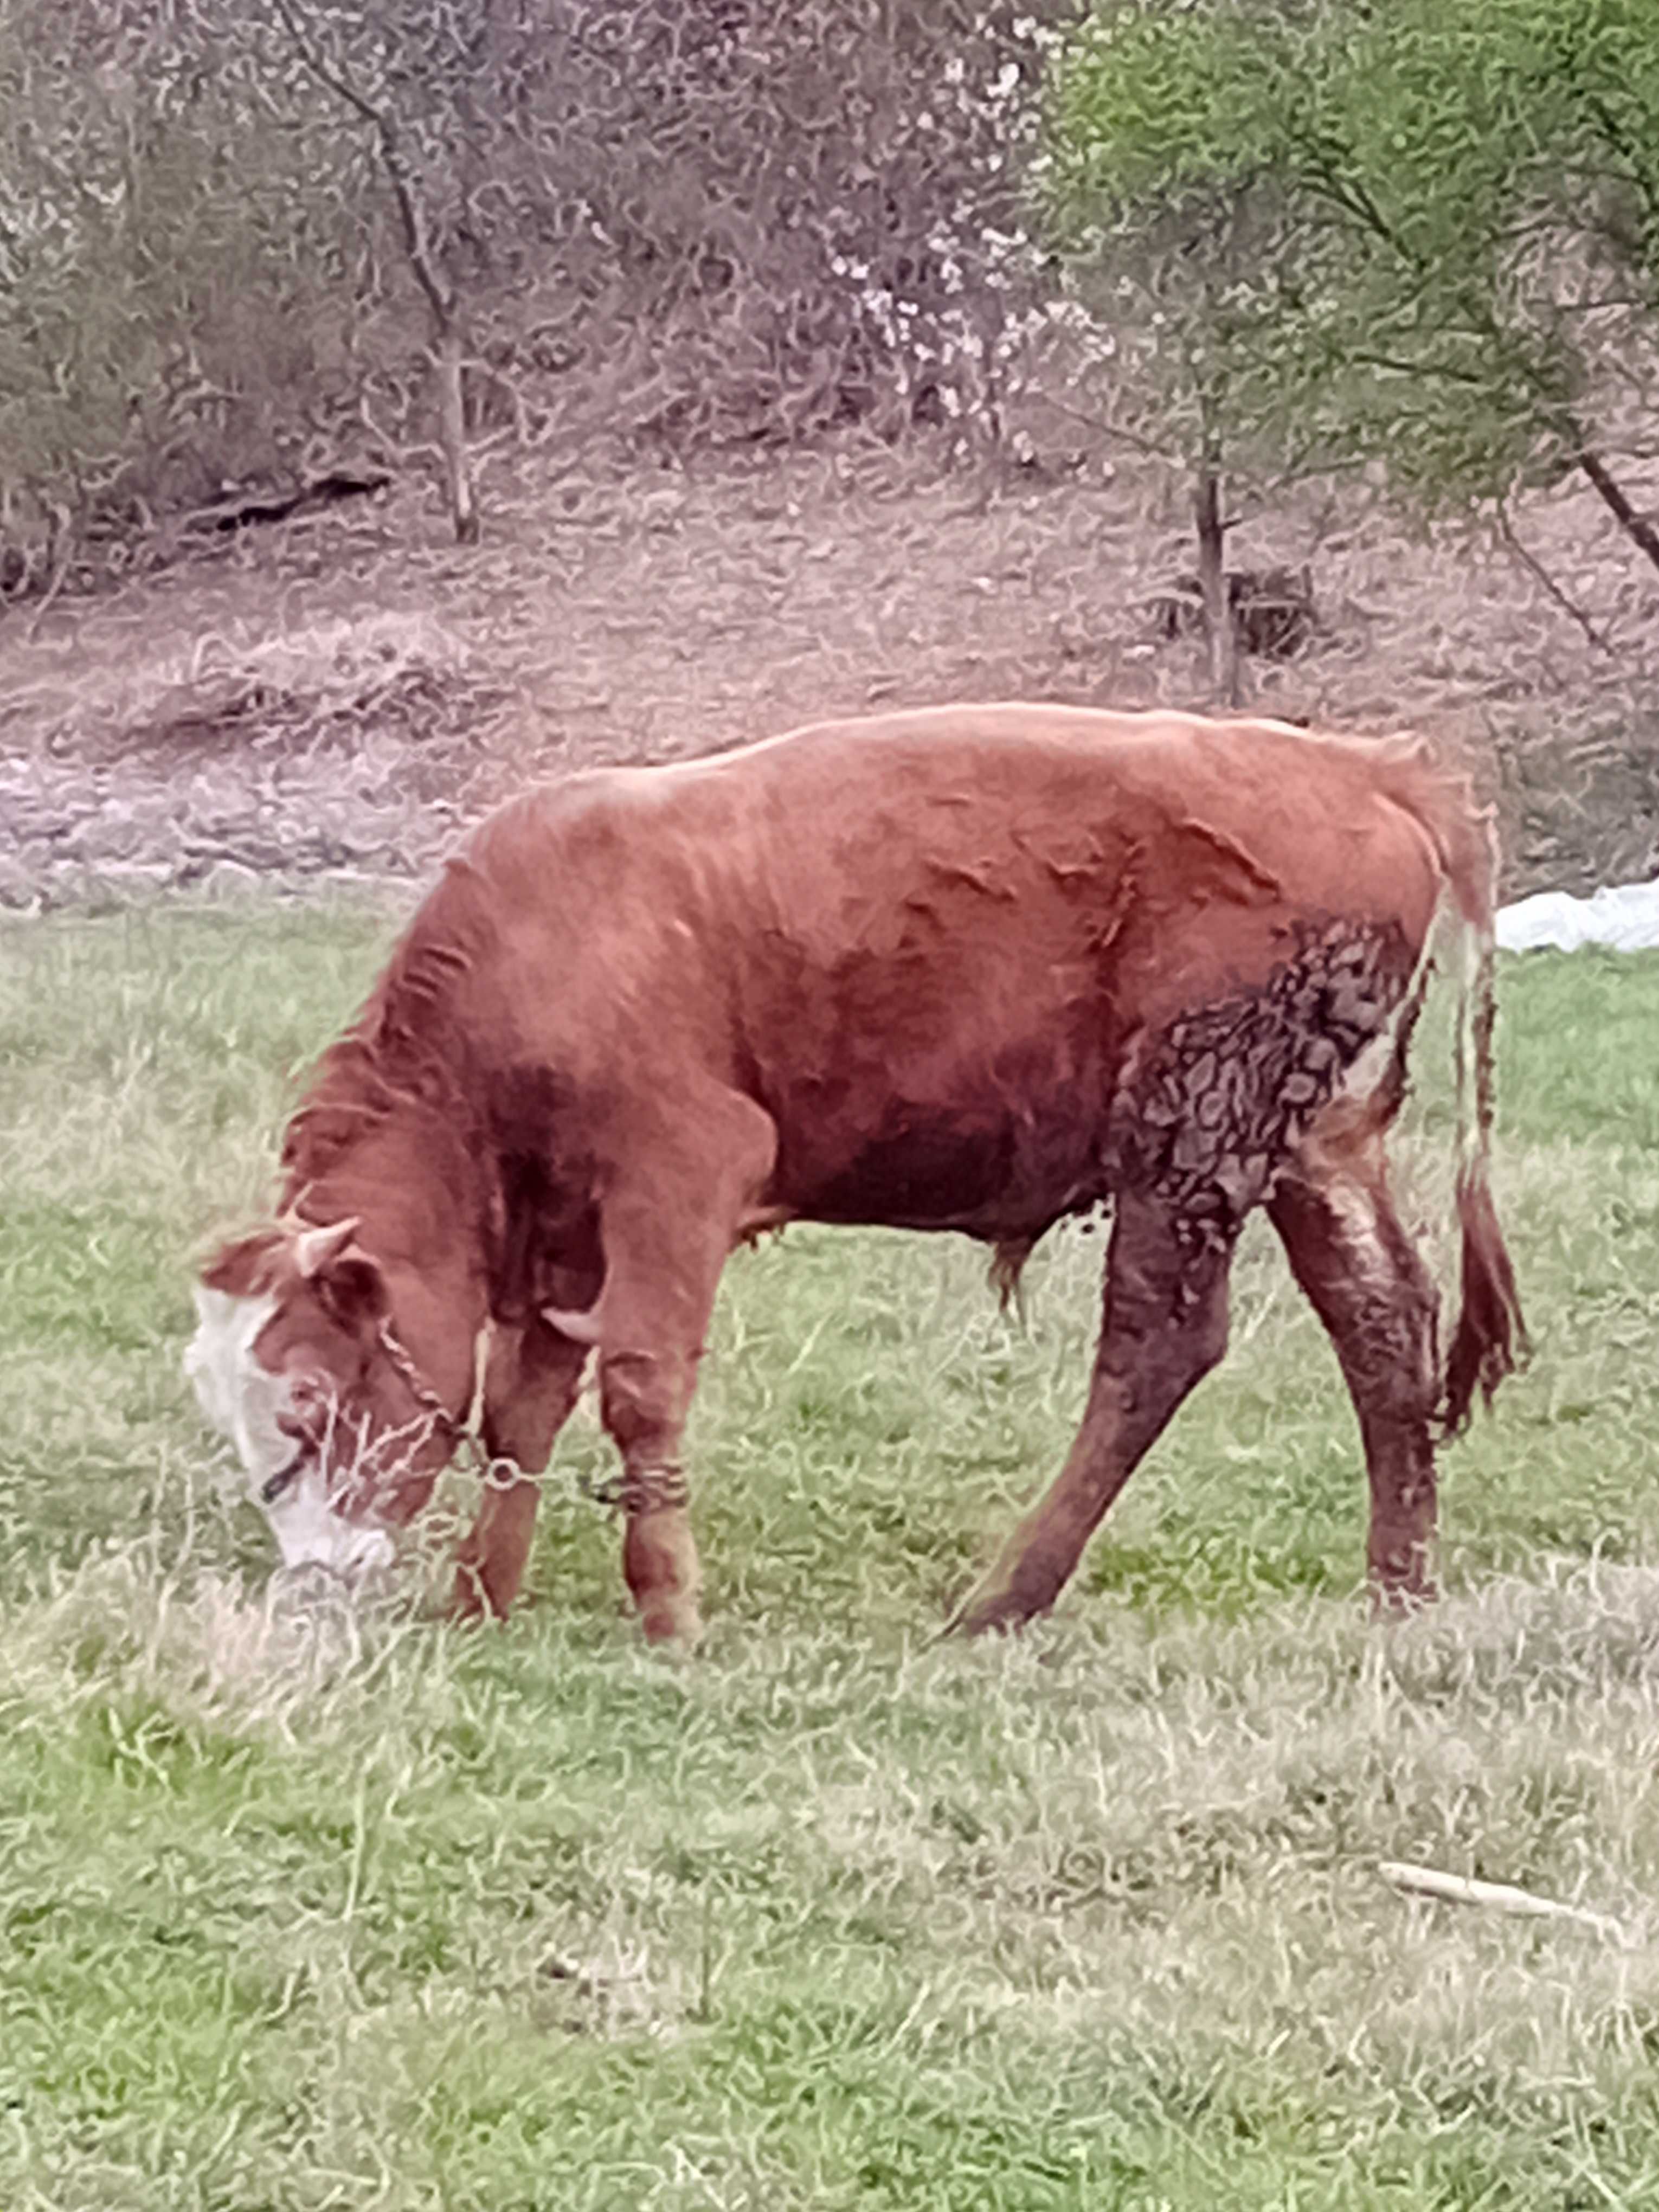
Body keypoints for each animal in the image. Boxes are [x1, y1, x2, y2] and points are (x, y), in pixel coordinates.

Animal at [188, 708, 1531, 1645]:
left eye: (306, 1404)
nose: (316, 1589)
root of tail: (1359, 767)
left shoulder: (681, 1162)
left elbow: (639, 1386)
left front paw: (668, 1613)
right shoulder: (563, 1226)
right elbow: (525, 1401)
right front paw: (481, 1596)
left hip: (1193, 1124)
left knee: (1161, 1345)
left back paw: (1001, 1598)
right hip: (1314, 1138)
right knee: (1381, 1321)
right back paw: (1396, 1587)